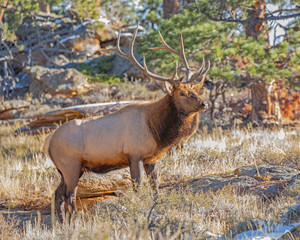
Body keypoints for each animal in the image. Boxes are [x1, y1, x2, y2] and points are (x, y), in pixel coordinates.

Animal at [43, 25, 210, 221]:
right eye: (182, 93)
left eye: (194, 90)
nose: (204, 103)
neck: (156, 131)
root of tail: (48, 142)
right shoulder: (134, 154)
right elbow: (137, 186)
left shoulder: (151, 159)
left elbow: (155, 186)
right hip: (70, 165)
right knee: (69, 195)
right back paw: (76, 220)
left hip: (67, 169)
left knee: (57, 194)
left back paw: (62, 223)